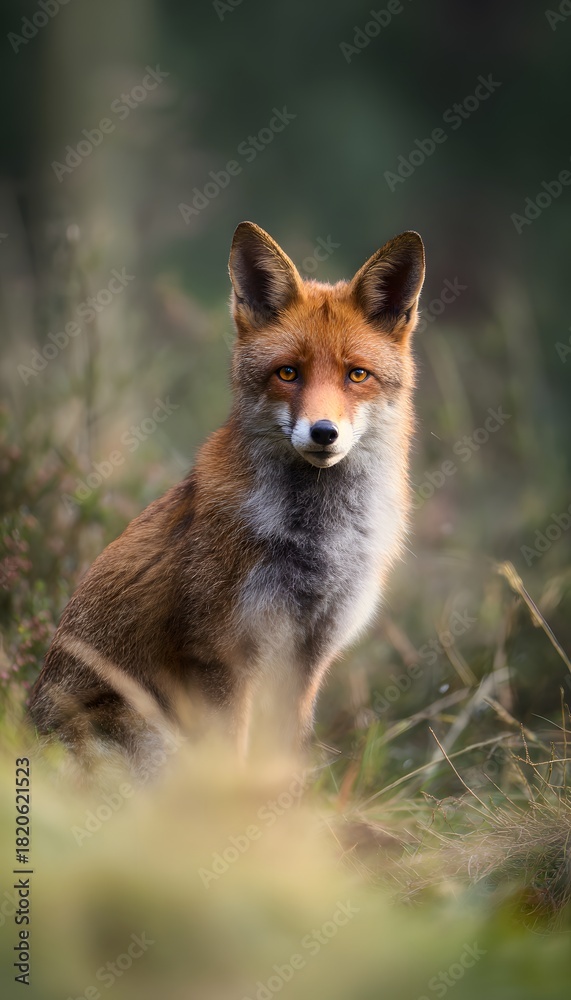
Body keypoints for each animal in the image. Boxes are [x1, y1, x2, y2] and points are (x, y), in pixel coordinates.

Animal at [28, 221, 425, 773]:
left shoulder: (310, 656)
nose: (323, 433)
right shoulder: (222, 654)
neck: (316, 541)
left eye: (357, 374)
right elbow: (231, 761)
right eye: (288, 373)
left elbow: (284, 761)